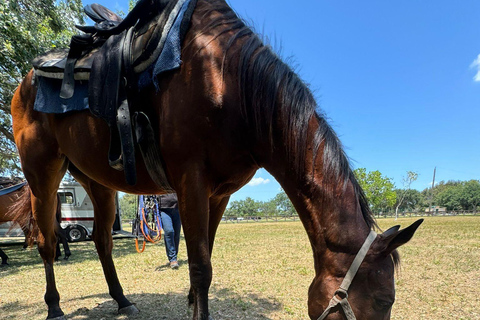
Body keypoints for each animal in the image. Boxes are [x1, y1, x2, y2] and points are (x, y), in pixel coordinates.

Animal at [11, 0, 422, 318]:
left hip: (97, 181)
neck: (227, 80)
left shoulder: (218, 193)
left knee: (102, 240)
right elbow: (199, 270)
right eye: (384, 300)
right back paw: (54, 307)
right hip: (42, 176)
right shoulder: (191, 182)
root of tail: (27, 81)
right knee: (47, 241)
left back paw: (123, 300)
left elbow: (204, 266)